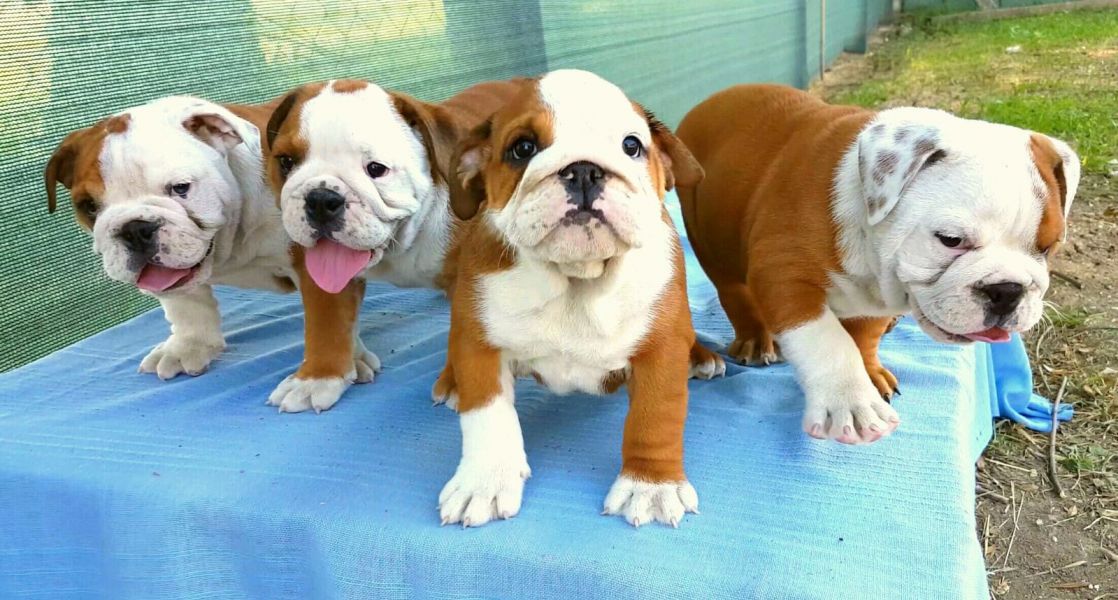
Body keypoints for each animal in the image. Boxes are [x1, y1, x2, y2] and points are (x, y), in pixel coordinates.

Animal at [432, 69, 718, 528]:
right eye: (523, 148)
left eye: (631, 146)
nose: (584, 170)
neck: (576, 278)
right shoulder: (479, 345)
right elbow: (487, 417)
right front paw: (485, 480)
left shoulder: (660, 349)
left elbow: (654, 417)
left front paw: (650, 485)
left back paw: (704, 357)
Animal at [676, 84, 1079, 445]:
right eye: (950, 240)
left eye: (1047, 247)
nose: (1007, 290)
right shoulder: (783, 273)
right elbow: (827, 342)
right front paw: (851, 403)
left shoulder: (874, 297)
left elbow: (862, 336)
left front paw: (869, 373)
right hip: (708, 235)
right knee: (733, 290)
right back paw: (755, 340)